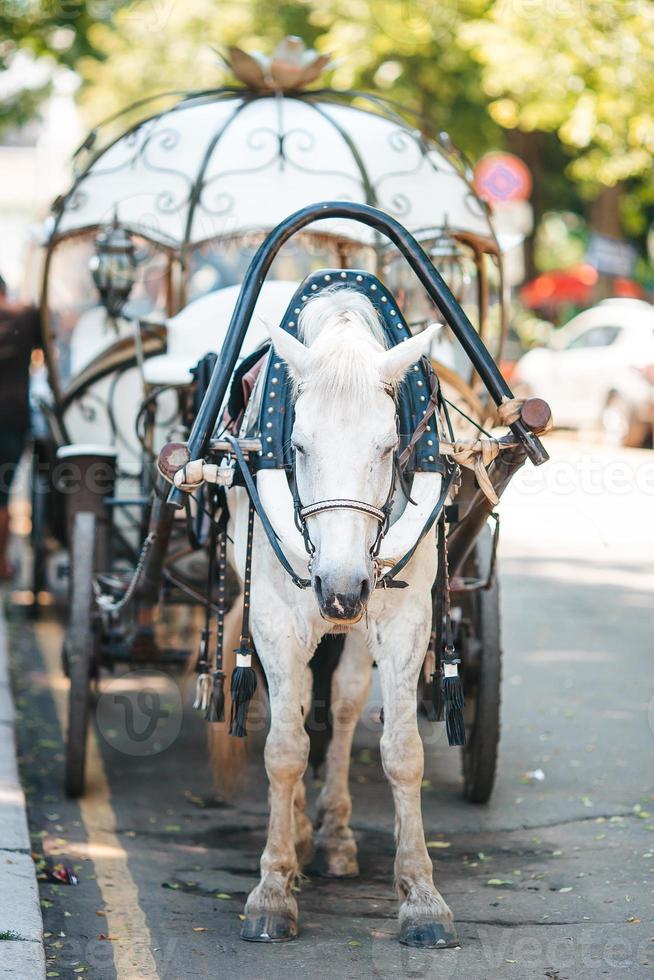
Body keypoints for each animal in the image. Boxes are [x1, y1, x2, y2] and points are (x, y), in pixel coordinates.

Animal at [223, 290, 458, 948]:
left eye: (387, 446)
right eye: (298, 446)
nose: (342, 589)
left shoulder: (404, 621)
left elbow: (403, 751)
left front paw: (421, 894)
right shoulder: (273, 622)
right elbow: (284, 748)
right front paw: (272, 890)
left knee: (347, 704)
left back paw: (334, 835)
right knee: (299, 706)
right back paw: (302, 834)